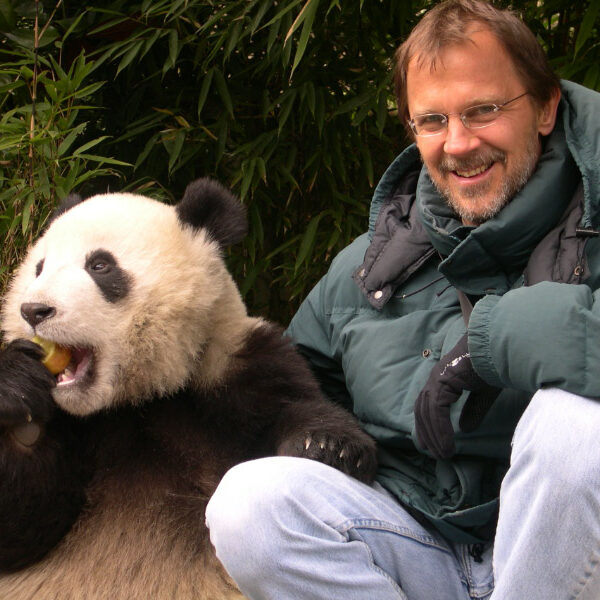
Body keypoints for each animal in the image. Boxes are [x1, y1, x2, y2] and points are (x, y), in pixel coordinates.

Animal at [0, 179, 378, 600]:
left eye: (99, 265)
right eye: (39, 268)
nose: (34, 311)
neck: (140, 397)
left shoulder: (234, 369)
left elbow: (290, 406)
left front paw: (328, 445)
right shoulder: (73, 428)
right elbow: (25, 530)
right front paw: (16, 387)